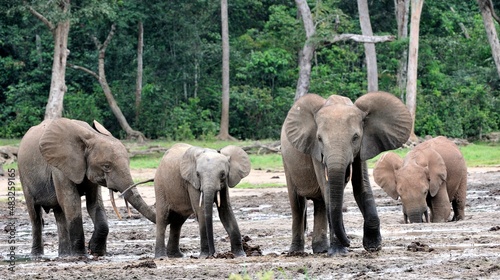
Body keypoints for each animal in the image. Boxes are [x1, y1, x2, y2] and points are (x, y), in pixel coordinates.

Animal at [18, 117, 156, 258]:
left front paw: (95, 251)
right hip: (24, 176)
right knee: (35, 215)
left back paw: (64, 255)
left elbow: (94, 203)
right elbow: (71, 203)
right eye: (106, 166)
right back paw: (37, 255)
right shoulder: (60, 167)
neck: (91, 136)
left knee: (60, 213)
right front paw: (81, 255)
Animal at [280, 92, 412, 256]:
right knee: (298, 204)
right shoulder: (316, 151)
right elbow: (328, 190)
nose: (349, 242)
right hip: (286, 162)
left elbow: (362, 186)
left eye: (355, 137)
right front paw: (338, 251)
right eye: (319, 139)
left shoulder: (363, 146)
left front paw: (373, 246)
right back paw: (297, 252)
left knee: (320, 203)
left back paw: (321, 250)